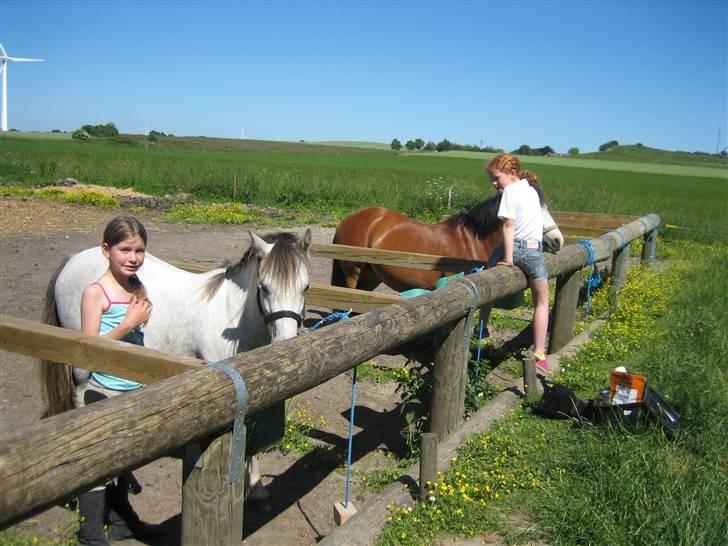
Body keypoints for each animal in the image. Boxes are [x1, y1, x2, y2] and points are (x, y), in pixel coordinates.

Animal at [39, 227, 312, 500]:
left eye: (306, 287)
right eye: (263, 287)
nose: (287, 343)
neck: (233, 317)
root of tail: (72, 260)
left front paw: (256, 486)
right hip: (82, 363)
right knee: (80, 398)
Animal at [330, 192, 564, 294]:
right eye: (532, 209)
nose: (557, 240)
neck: (472, 240)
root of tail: (349, 219)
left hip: (371, 275)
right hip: (353, 272)